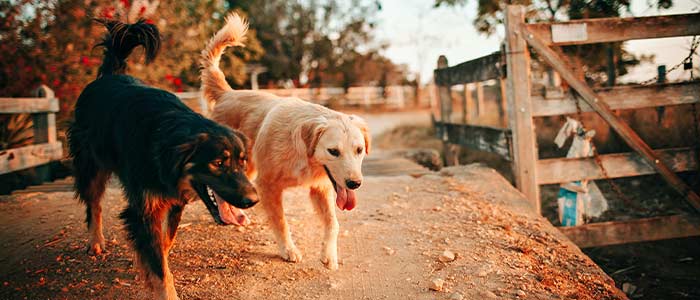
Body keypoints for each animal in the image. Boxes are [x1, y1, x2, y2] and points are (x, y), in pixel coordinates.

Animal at [67, 19, 258, 300]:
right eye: (218, 163)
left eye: (242, 162)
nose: (253, 200)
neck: (167, 143)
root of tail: (109, 75)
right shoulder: (143, 210)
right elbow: (158, 265)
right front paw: (161, 283)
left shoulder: (174, 202)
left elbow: (163, 245)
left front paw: (147, 267)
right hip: (91, 165)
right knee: (94, 204)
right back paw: (95, 242)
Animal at [200, 13, 370, 270]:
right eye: (333, 151)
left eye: (359, 150)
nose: (354, 184)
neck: (303, 154)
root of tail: (228, 93)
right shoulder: (268, 186)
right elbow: (281, 222)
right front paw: (288, 249)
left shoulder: (320, 188)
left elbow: (333, 224)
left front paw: (329, 255)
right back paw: (228, 215)